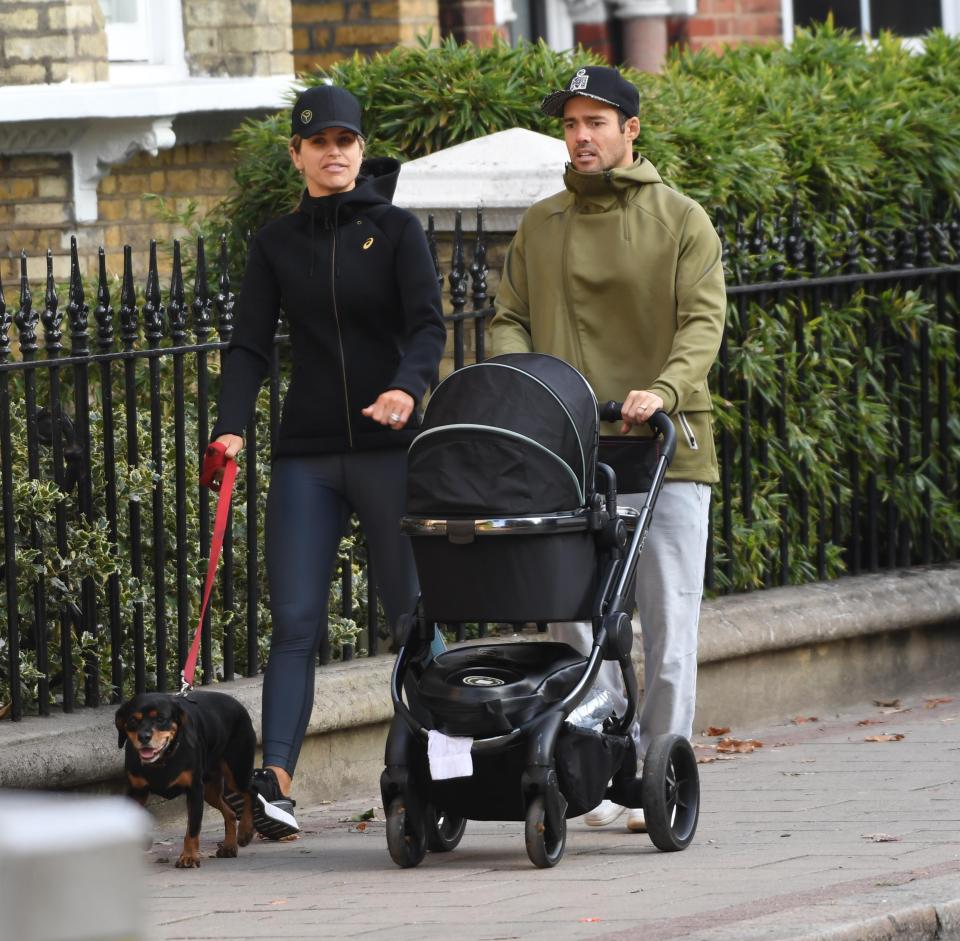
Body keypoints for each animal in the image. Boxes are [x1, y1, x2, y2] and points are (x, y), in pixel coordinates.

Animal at [116, 692, 256, 868]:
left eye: (161, 719)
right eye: (133, 720)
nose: (144, 737)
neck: (163, 760)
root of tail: (237, 703)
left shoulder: (194, 790)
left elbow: (193, 828)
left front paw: (189, 856)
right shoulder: (137, 790)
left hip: (237, 771)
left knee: (251, 792)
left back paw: (245, 831)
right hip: (209, 789)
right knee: (230, 812)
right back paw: (229, 847)